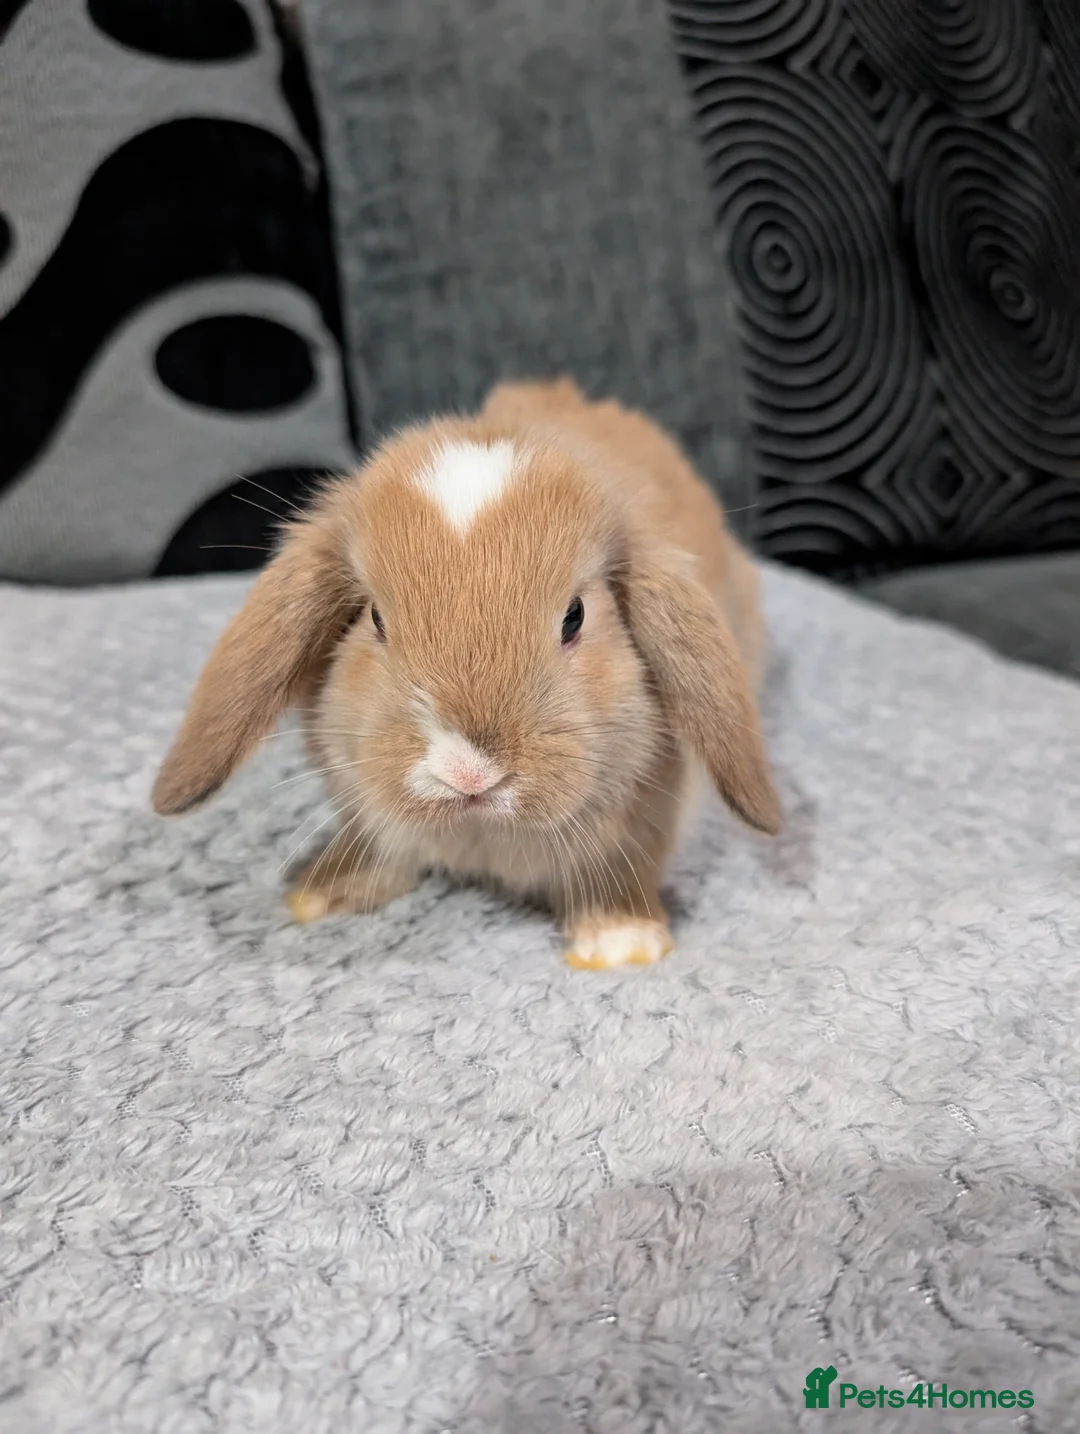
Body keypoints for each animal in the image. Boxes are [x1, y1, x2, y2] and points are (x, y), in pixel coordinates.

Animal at [152, 378, 781, 969]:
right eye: (375, 618)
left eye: (575, 616)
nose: (469, 772)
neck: (481, 834)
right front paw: (326, 892)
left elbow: (616, 873)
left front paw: (621, 941)